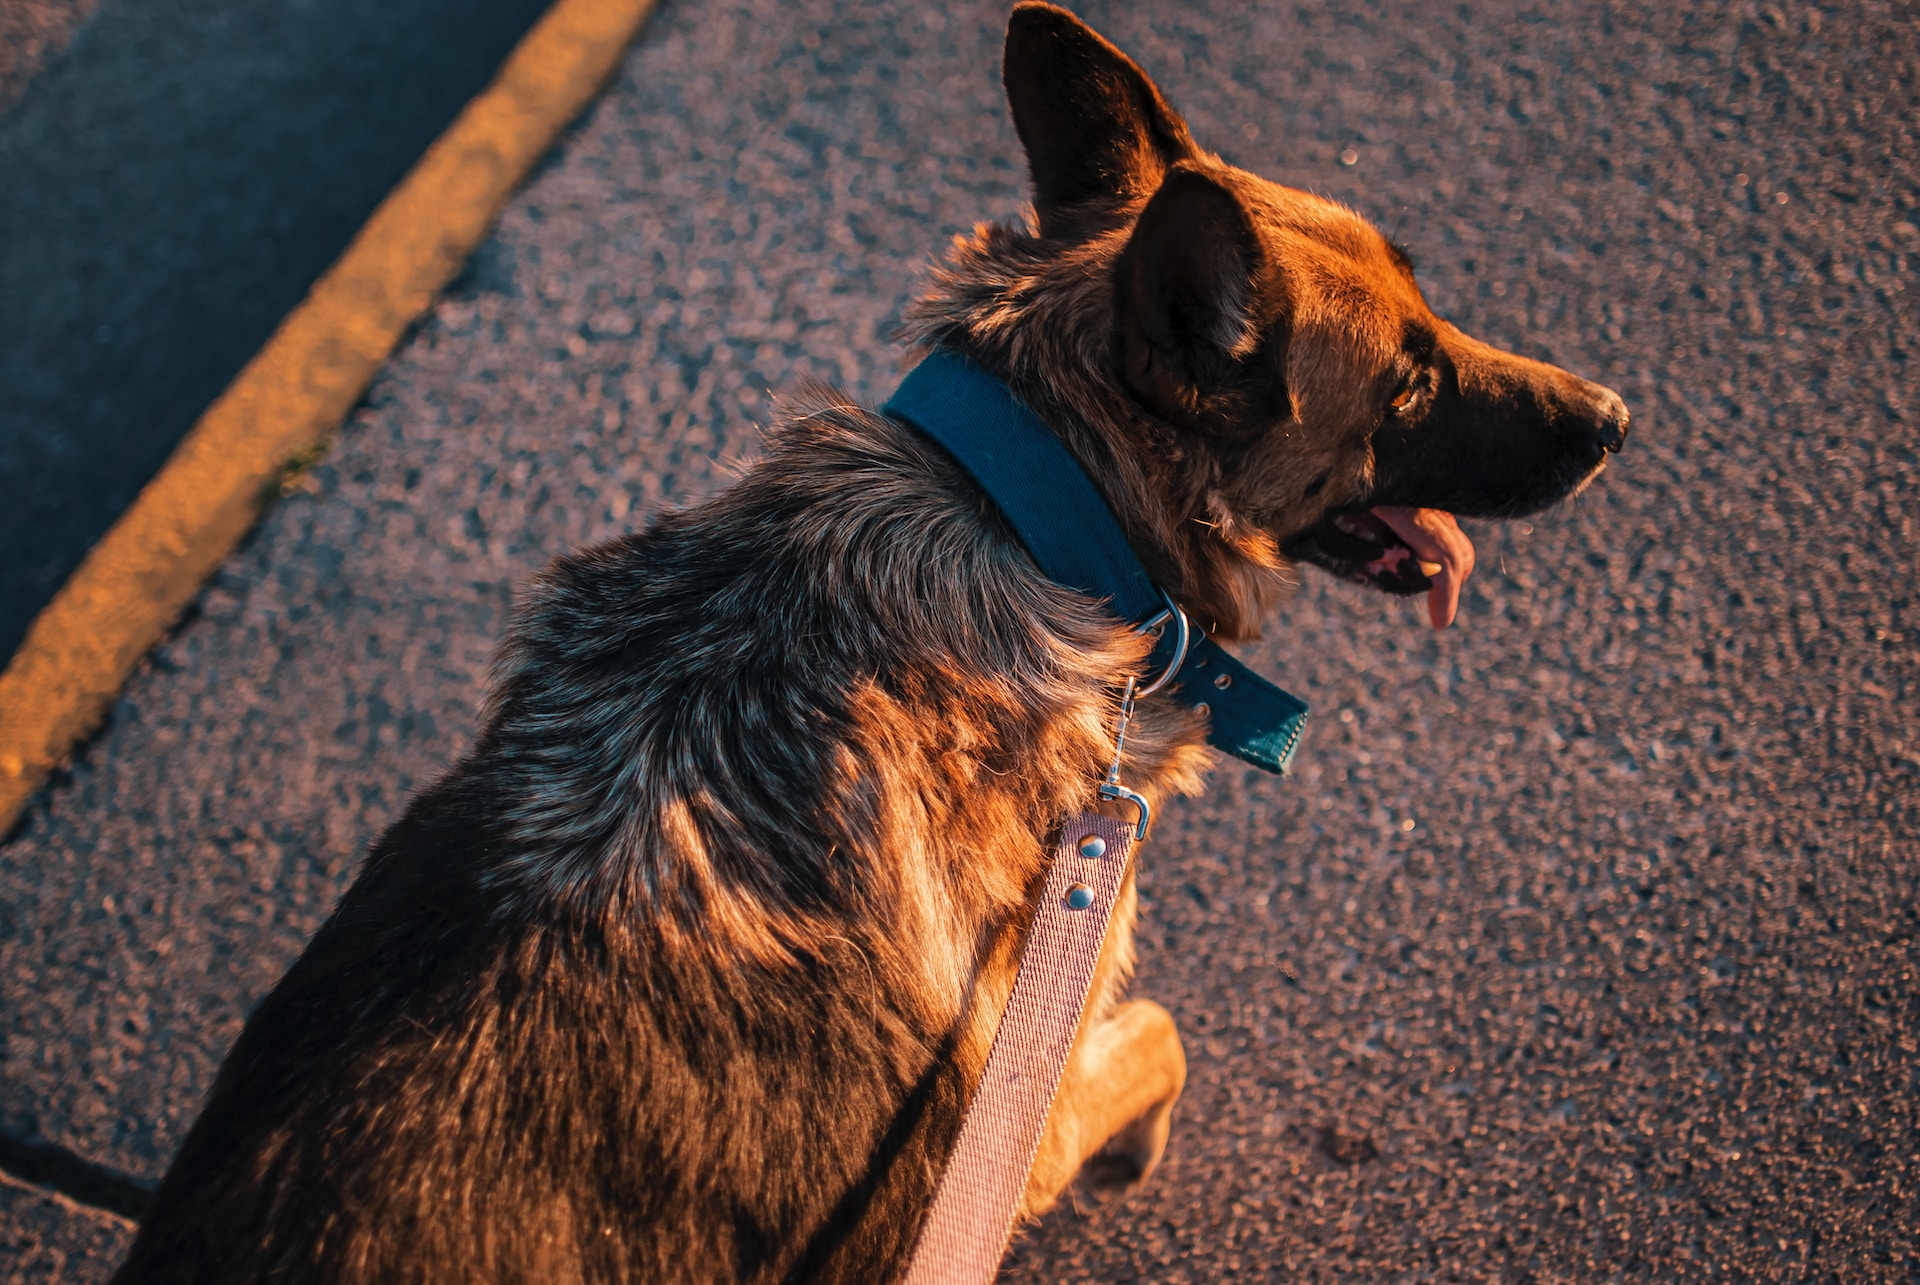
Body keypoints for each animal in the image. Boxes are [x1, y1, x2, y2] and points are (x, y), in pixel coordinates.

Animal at [116, 5, 1620, 1275]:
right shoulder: (1013, 1123)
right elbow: (1158, 1035)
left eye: (1432, 307)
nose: (1613, 419)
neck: (1031, 507)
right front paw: (1137, 1144)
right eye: (1408, 384)